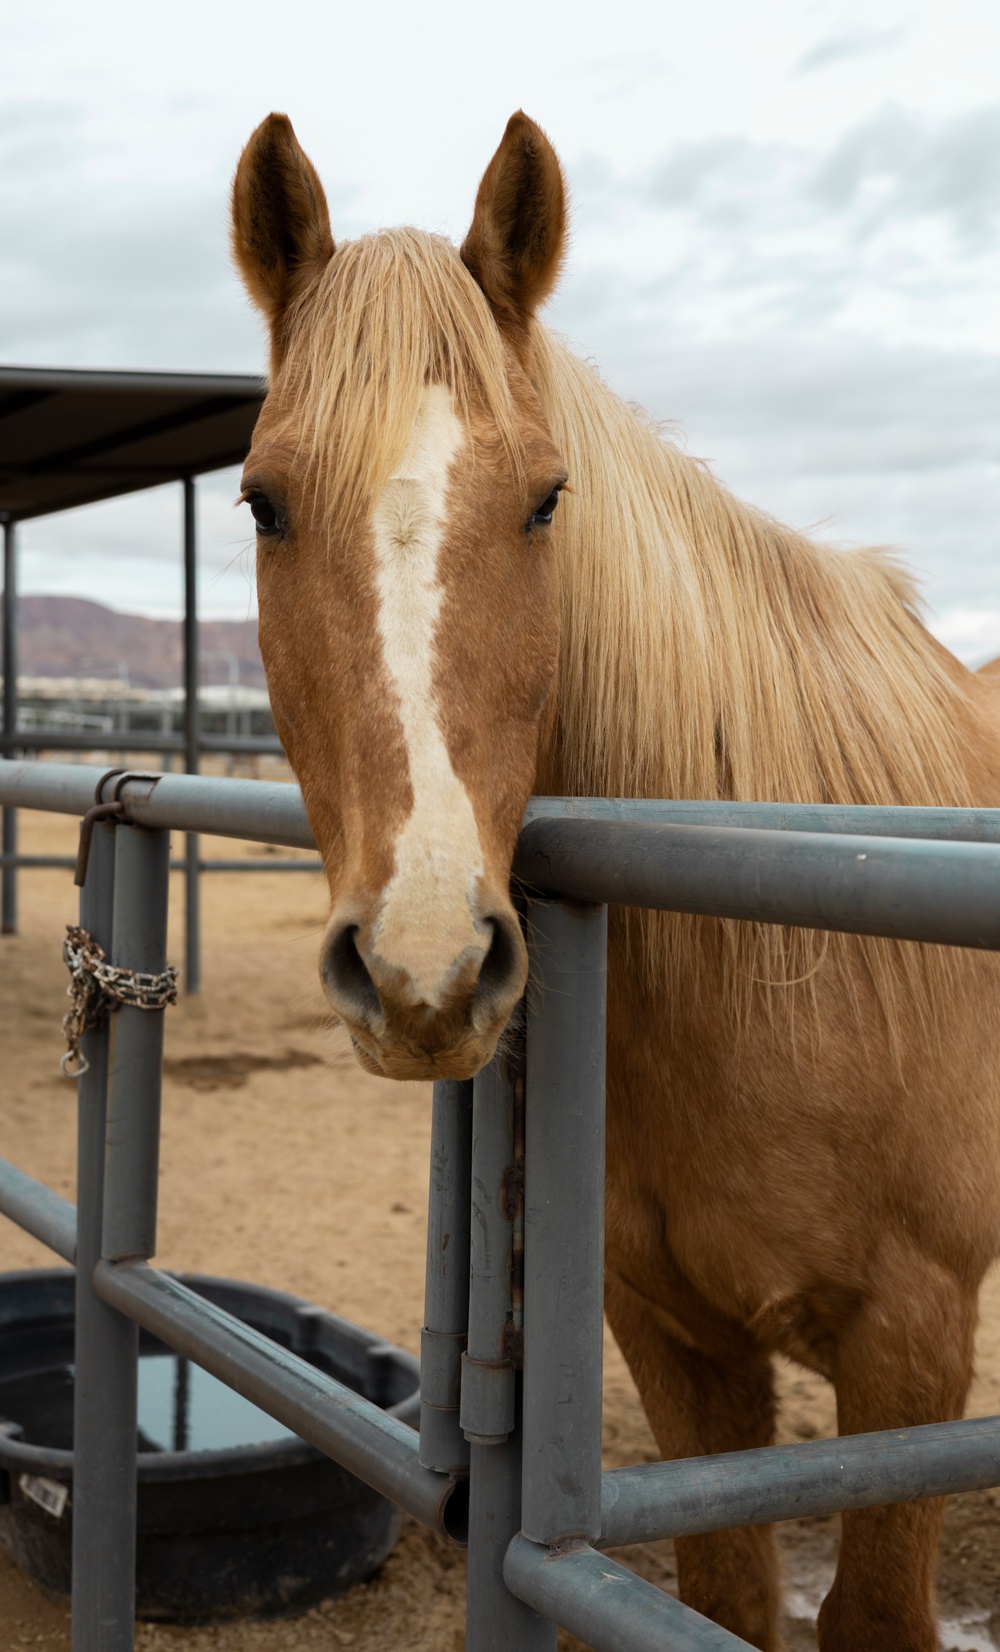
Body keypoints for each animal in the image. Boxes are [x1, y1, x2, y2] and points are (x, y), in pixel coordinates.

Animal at [229, 109, 998, 1645]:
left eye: (545, 501)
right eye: (264, 501)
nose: (423, 967)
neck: (787, 960)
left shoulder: (911, 1350)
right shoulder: (673, 1336)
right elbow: (734, 1597)